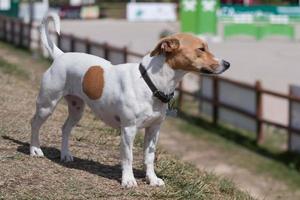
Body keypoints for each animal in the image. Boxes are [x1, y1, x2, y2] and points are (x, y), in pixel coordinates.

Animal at [29, 13, 230, 188]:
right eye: (201, 49)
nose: (227, 64)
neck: (151, 83)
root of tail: (61, 55)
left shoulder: (154, 129)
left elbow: (149, 157)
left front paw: (152, 179)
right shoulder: (128, 130)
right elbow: (128, 157)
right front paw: (128, 180)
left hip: (77, 109)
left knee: (65, 128)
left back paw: (65, 155)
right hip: (47, 105)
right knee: (35, 124)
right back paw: (35, 150)